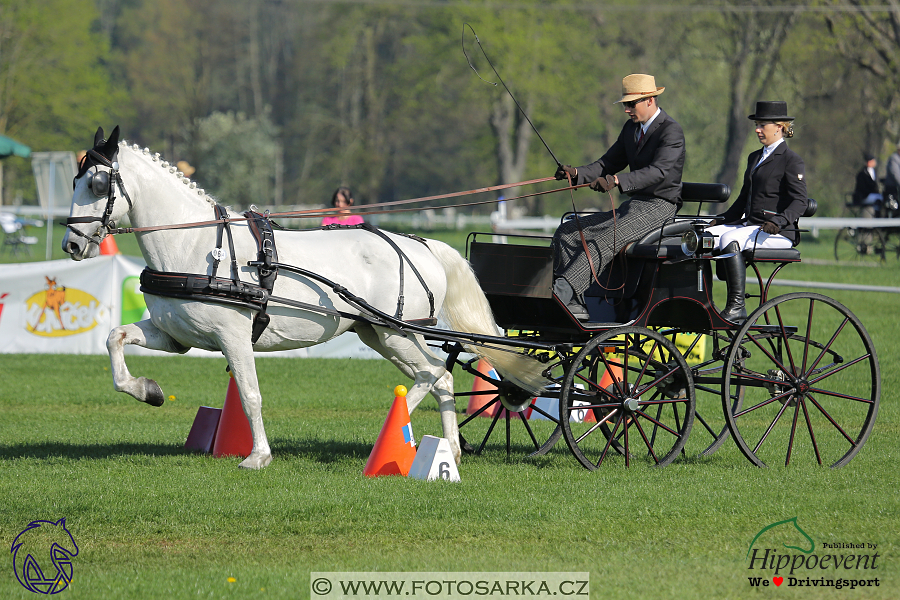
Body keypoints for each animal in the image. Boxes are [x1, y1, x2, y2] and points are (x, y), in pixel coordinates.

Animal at [63, 126, 544, 468]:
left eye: (99, 184)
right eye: (75, 180)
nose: (71, 244)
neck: (197, 247)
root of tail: (422, 243)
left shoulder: (233, 337)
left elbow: (250, 393)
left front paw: (257, 457)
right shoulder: (174, 335)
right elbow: (114, 338)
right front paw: (148, 391)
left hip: (397, 333)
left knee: (432, 376)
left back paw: (395, 433)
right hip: (382, 335)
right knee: (440, 378)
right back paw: (449, 450)